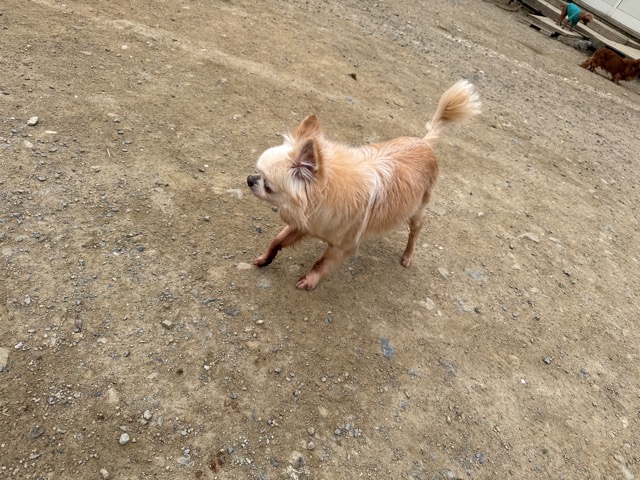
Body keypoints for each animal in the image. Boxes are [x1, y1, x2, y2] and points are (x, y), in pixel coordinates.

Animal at [247, 80, 481, 290]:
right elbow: (277, 240)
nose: (249, 179)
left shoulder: (341, 248)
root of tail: (424, 142)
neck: (327, 193)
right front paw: (265, 258)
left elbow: (320, 263)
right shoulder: (304, 224)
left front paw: (310, 281)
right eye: (257, 172)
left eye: (267, 186)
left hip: (417, 212)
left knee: (415, 232)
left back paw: (407, 255)